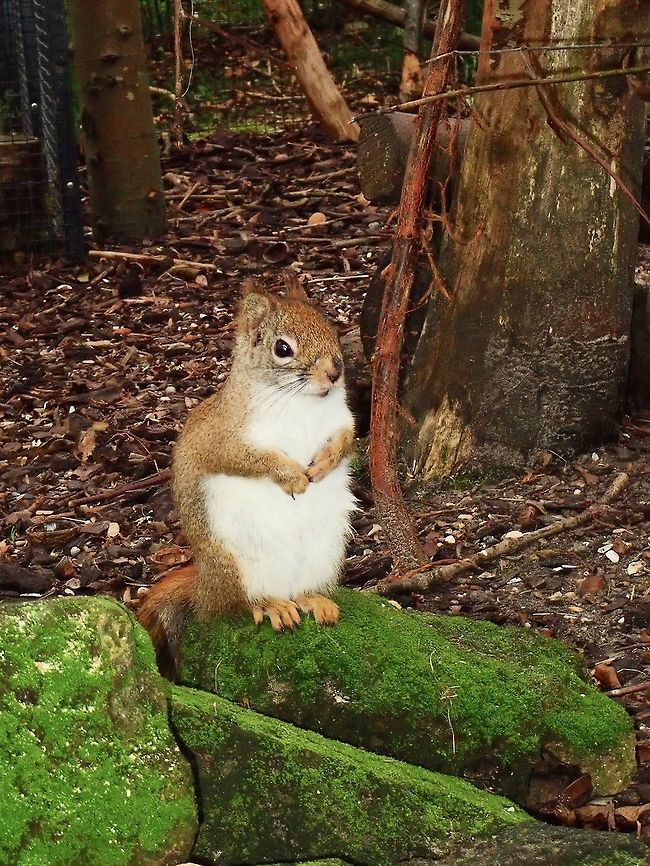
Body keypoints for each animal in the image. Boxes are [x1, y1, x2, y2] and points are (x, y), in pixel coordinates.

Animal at [137, 272, 356, 674]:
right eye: (282, 348)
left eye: (330, 328)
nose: (335, 373)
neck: (304, 403)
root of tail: (205, 592)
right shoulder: (224, 439)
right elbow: (247, 460)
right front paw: (292, 475)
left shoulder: (342, 419)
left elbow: (347, 439)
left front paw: (326, 462)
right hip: (236, 566)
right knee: (241, 605)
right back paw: (271, 605)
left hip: (326, 555)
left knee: (302, 590)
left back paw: (312, 599)